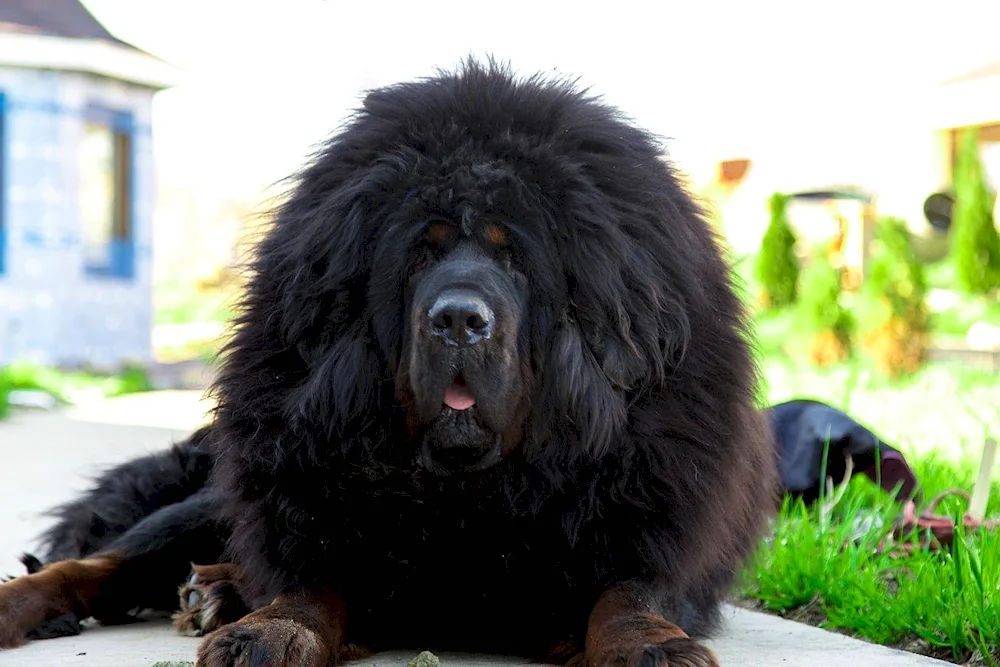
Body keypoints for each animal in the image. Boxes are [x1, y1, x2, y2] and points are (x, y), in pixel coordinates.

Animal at [0, 58, 772, 667]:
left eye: (515, 258)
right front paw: (268, 630)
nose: (458, 319)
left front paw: (653, 644)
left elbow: (629, 591)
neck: (471, 493)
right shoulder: (325, 519)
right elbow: (309, 585)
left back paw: (217, 588)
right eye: (422, 253)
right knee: (103, 561)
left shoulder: (644, 528)